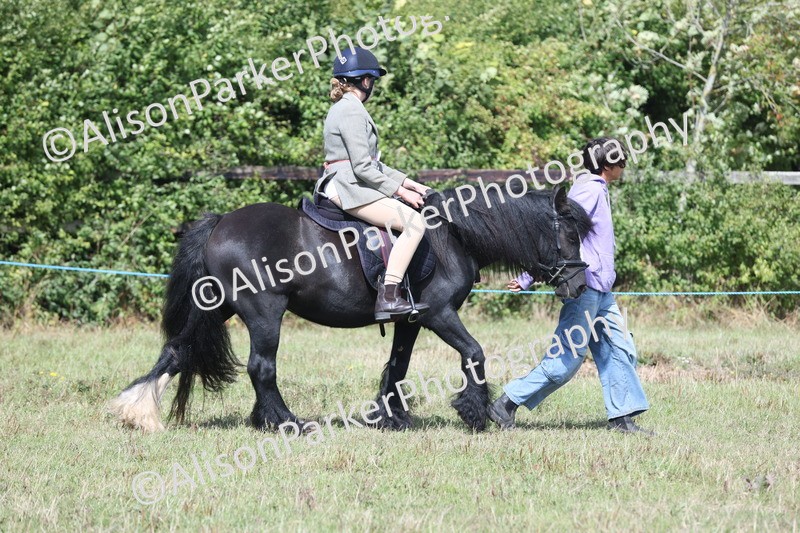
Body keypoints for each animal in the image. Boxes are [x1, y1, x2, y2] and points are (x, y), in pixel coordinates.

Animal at [109, 183, 592, 433]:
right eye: (570, 235)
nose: (579, 285)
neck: (452, 234)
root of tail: (219, 223)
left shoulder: (410, 320)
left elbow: (397, 366)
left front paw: (390, 418)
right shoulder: (439, 314)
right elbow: (474, 353)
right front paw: (474, 413)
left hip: (216, 308)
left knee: (178, 350)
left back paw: (139, 411)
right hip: (264, 314)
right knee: (261, 367)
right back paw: (286, 422)